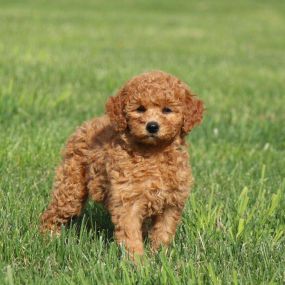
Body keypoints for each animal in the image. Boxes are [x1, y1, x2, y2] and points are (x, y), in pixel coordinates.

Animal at [40, 70, 204, 256]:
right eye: (140, 109)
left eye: (167, 110)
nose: (152, 126)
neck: (154, 152)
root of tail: (84, 125)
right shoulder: (128, 201)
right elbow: (130, 235)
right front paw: (138, 261)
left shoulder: (171, 202)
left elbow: (163, 233)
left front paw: (159, 256)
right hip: (71, 187)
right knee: (53, 213)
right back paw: (48, 239)